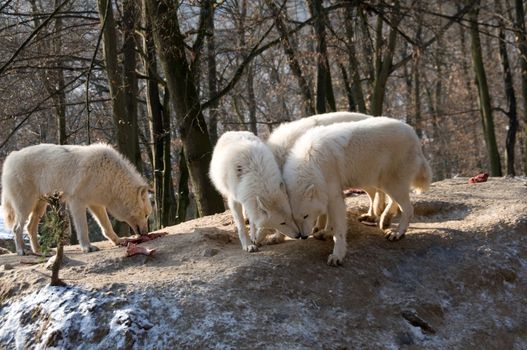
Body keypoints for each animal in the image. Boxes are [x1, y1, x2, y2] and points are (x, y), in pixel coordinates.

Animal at [0, 144, 153, 256]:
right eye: (146, 215)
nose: (146, 233)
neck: (111, 177)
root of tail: (10, 158)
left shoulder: (96, 204)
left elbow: (107, 227)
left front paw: (118, 241)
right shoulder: (77, 202)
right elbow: (83, 228)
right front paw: (87, 247)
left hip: (40, 207)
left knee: (30, 227)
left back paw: (39, 250)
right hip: (25, 206)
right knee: (17, 228)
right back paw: (22, 251)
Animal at [284, 117, 434, 266]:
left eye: (306, 216)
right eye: (295, 219)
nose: (303, 236)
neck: (312, 162)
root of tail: (413, 133)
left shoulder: (335, 196)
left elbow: (338, 229)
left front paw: (337, 255)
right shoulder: (329, 195)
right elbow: (331, 221)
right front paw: (326, 232)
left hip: (390, 184)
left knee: (408, 209)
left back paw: (397, 233)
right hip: (383, 183)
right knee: (393, 201)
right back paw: (385, 220)